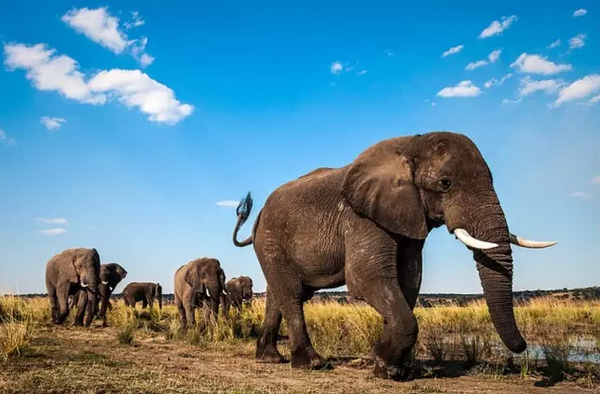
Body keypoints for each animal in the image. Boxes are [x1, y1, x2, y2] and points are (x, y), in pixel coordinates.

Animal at [232, 132, 556, 378]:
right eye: (445, 183)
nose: (522, 347)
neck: (412, 145)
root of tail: (257, 217)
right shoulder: (362, 216)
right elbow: (368, 278)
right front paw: (385, 365)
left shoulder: (408, 216)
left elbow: (408, 281)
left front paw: (388, 367)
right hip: (272, 240)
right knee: (292, 293)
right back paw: (313, 364)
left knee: (279, 293)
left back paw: (270, 358)